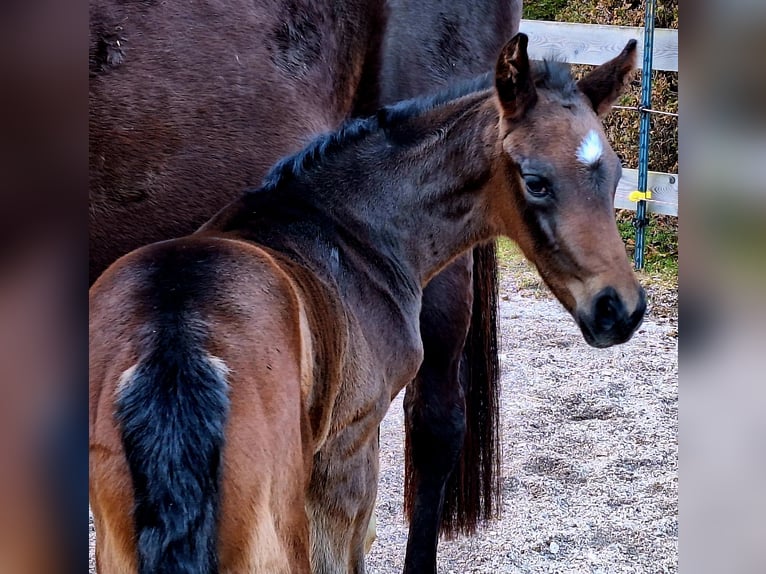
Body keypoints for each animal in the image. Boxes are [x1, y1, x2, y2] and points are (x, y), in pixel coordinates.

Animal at [91, 33, 648, 572]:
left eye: (616, 174)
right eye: (535, 182)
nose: (620, 310)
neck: (349, 230)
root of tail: (175, 339)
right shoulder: (347, 449)